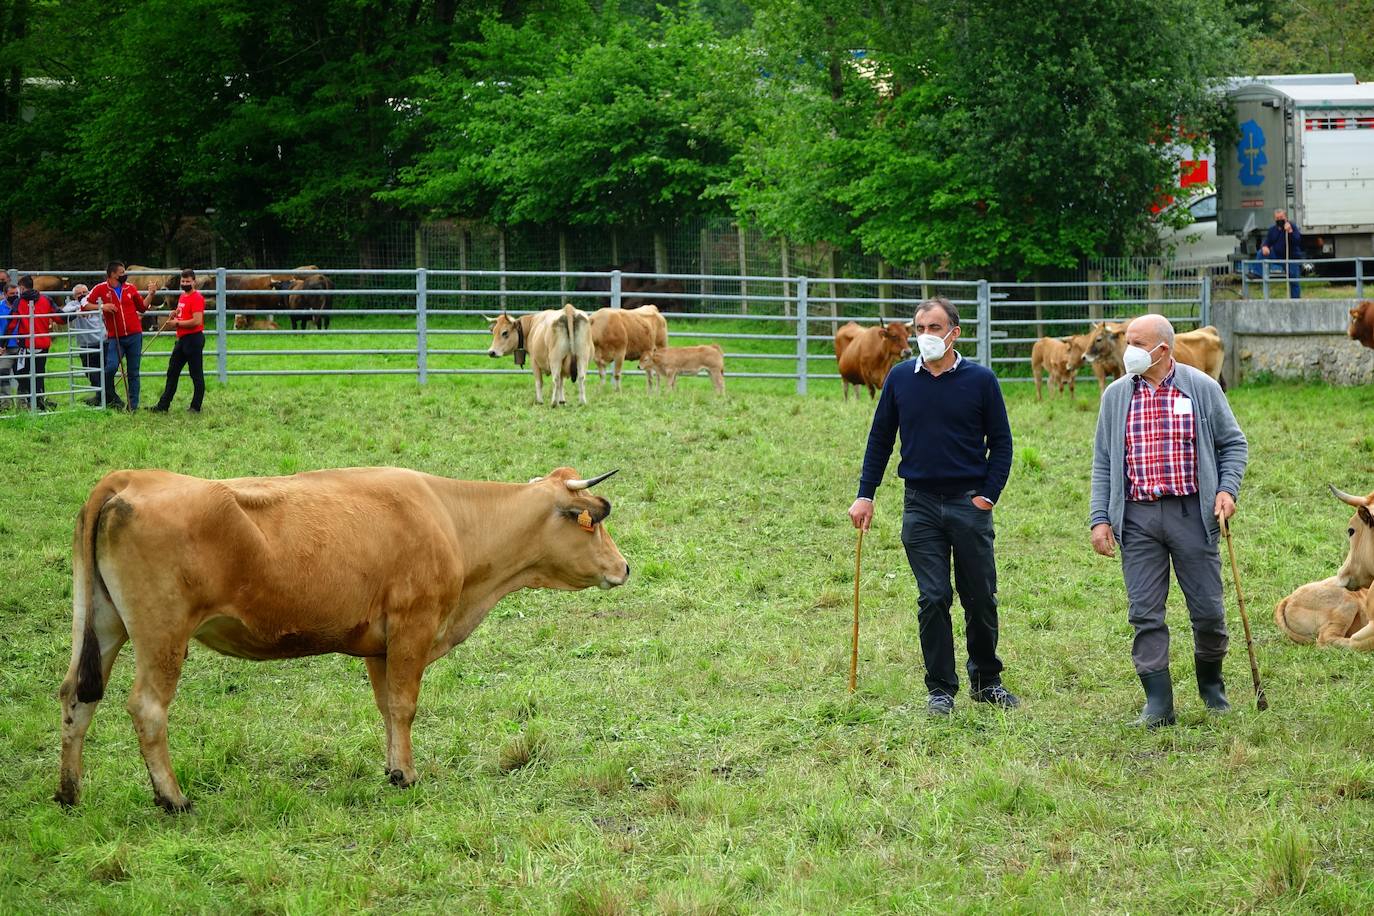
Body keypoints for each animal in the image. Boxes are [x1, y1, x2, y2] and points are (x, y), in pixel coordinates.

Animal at [54, 466, 629, 807]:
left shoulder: (381, 643)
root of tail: (130, 479)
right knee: (147, 707)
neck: (448, 516)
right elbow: (404, 705)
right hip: (162, 634)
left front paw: (393, 767)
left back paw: (69, 791)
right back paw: (172, 798)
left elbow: (387, 707)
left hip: (102, 624)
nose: (624, 567)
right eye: (592, 523)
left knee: (76, 698)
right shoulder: (414, 626)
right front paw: (407, 776)